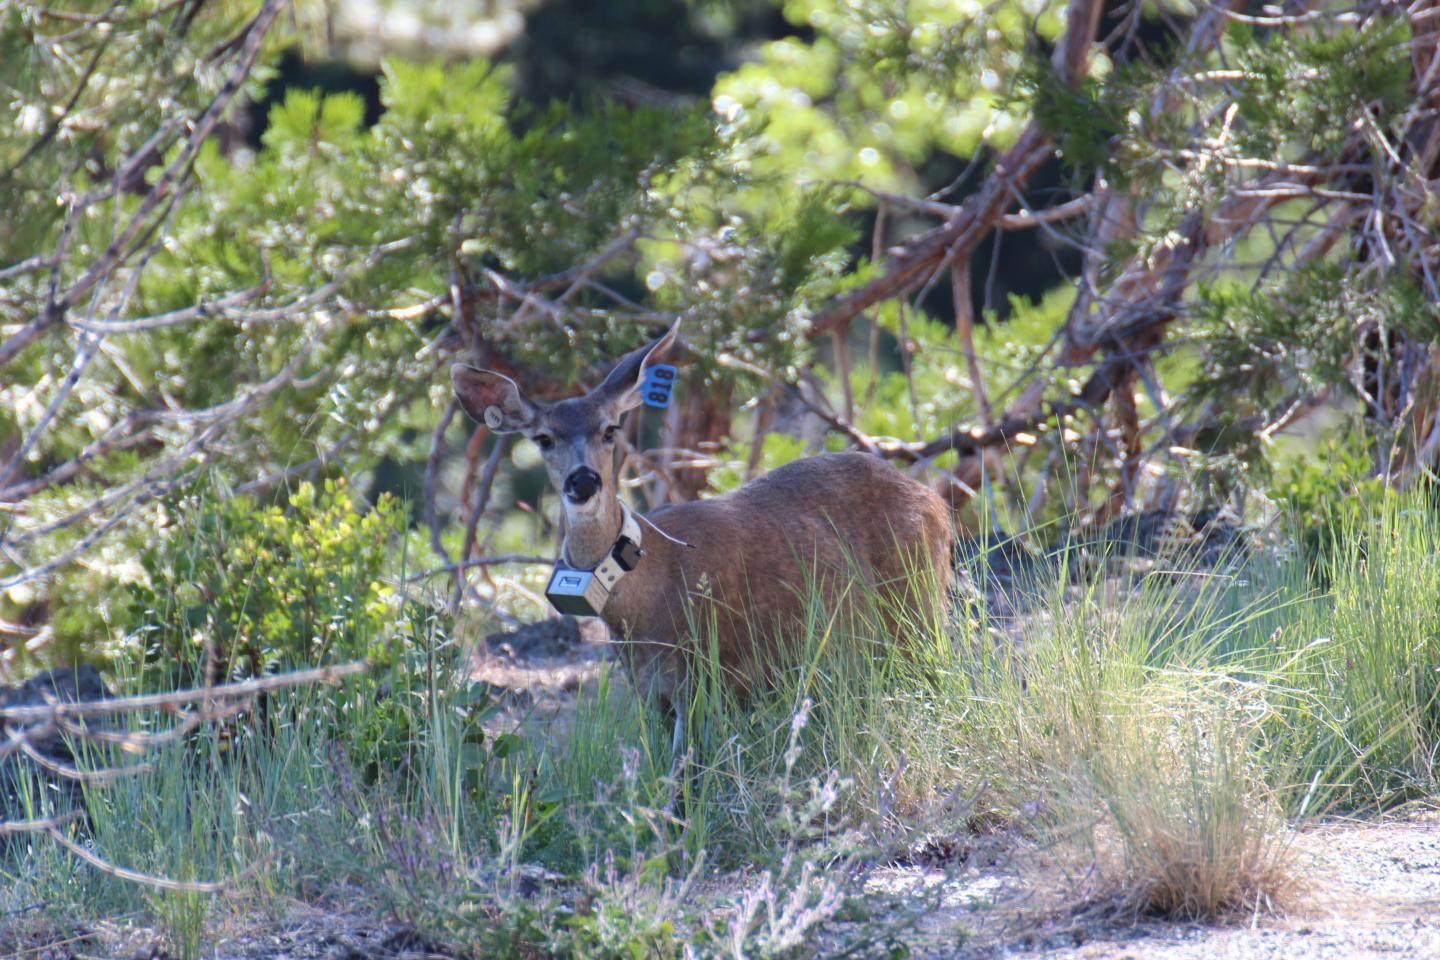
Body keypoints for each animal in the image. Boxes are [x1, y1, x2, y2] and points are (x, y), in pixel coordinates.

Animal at [451, 323, 953, 715]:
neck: (642, 595)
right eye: (543, 438)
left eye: (610, 429)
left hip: (916, 600)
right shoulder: (652, 692)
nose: (584, 480)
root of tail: (935, 501)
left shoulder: (703, 674)